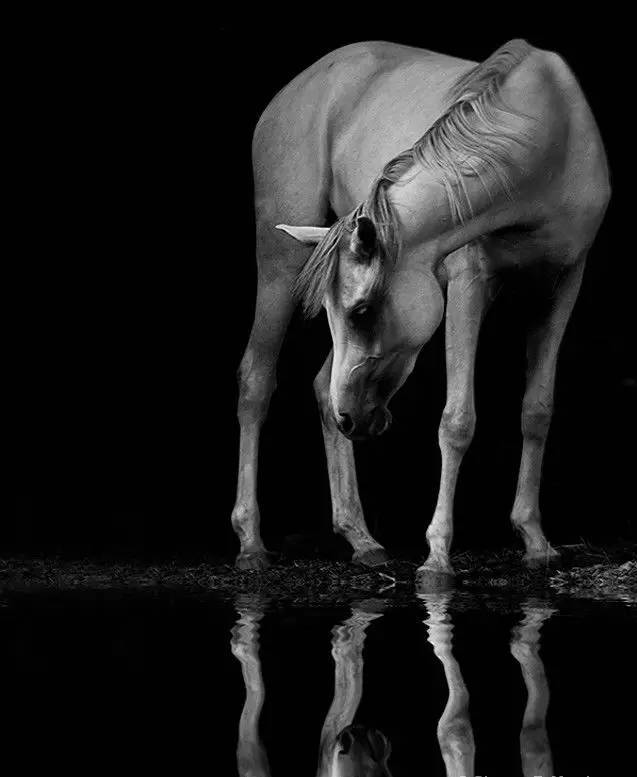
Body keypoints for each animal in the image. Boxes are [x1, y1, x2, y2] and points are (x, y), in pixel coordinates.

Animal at [231, 38, 610, 582]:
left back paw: (361, 537)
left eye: (361, 311)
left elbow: (537, 410)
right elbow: (457, 421)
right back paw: (250, 542)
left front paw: (536, 540)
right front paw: (437, 555)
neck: (547, 138)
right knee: (257, 380)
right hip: (279, 261)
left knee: (322, 386)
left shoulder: (565, 282)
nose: (352, 419)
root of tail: (295, 88)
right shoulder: (470, 282)